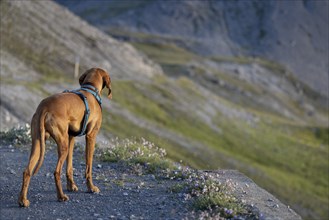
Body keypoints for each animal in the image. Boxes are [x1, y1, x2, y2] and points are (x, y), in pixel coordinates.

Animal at [17, 66, 111, 206]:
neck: (90, 88)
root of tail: (44, 107)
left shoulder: (71, 137)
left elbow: (69, 166)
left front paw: (71, 186)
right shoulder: (91, 136)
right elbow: (88, 166)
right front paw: (91, 187)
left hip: (39, 143)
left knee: (27, 171)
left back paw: (22, 200)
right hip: (62, 145)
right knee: (56, 172)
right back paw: (61, 196)